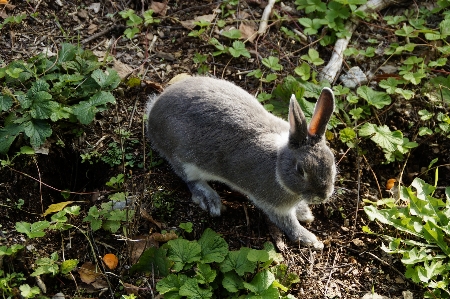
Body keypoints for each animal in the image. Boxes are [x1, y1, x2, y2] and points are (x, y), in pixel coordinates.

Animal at [146, 76, 336, 250]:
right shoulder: (274, 206)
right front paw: (310, 240)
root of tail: (153, 115)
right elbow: (288, 224)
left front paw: (305, 212)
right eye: (300, 170)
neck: (278, 164)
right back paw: (210, 199)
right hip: (185, 161)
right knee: (190, 180)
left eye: (332, 162)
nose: (323, 196)